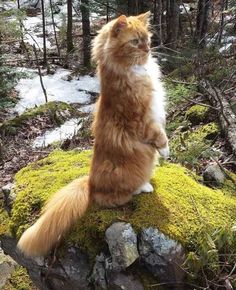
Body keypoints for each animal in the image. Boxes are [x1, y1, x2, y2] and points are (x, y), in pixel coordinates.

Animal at [18, 11, 170, 256]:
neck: (132, 71)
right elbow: (160, 136)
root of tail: (90, 182)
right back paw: (144, 186)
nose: (148, 49)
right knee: (117, 195)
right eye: (135, 42)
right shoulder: (141, 120)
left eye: (148, 39)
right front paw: (166, 150)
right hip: (126, 175)